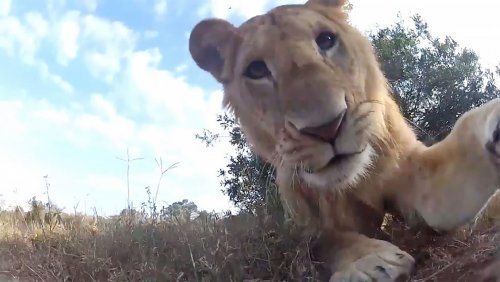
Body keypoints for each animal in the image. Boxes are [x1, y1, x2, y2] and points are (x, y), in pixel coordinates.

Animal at [188, 0, 500, 280]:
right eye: (256, 70)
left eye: (326, 40)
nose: (327, 127)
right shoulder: (304, 227)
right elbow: (331, 241)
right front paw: (371, 261)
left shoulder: (413, 176)